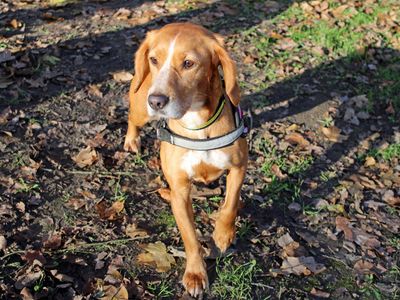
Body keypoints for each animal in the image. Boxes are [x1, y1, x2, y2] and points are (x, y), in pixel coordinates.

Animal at [123, 22, 248, 296]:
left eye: (189, 64)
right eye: (154, 60)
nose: (156, 101)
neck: (197, 123)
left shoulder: (239, 166)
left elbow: (231, 202)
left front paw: (223, 234)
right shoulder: (180, 192)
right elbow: (190, 238)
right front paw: (195, 274)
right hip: (140, 110)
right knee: (131, 119)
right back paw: (131, 140)